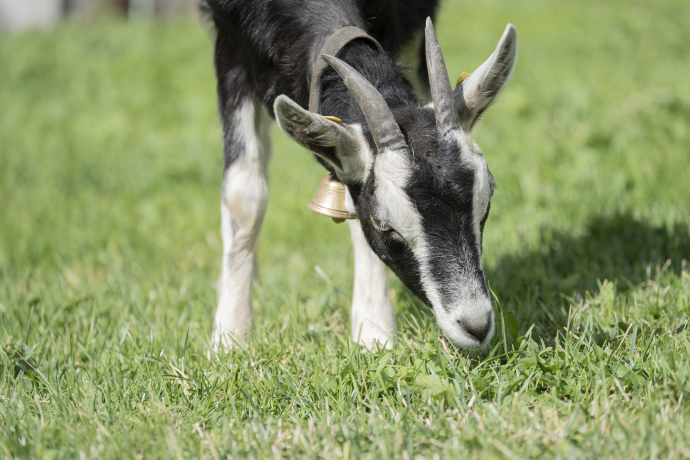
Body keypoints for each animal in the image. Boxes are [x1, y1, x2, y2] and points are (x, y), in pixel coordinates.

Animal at [203, 0, 518, 351]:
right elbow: (244, 196)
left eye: (486, 203)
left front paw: (373, 331)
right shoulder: (230, 43)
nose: (476, 325)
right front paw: (230, 336)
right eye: (384, 225)